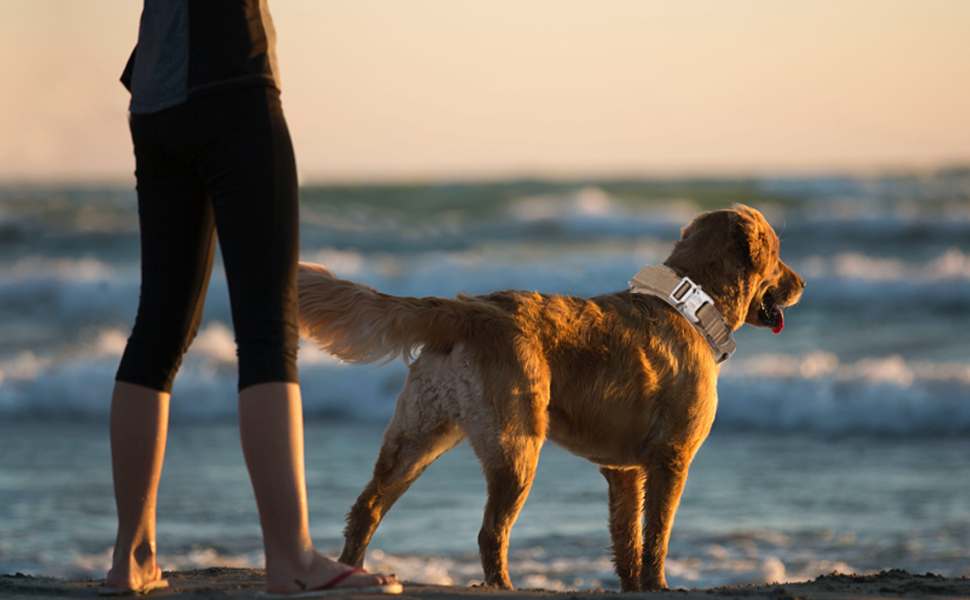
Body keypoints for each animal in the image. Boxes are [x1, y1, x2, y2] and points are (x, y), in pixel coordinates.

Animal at [294, 204, 800, 588]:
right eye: (778, 254)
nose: (802, 284)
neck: (690, 304)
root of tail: (469, 309)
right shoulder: (671, 457)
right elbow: (657, 535)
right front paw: (657, 585)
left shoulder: (624, 470)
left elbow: (627, 538)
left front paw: (633, 585)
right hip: (516, 445)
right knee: (489, 533)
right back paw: (501, 586)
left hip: (418, 435)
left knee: (367, 508)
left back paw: (352, 573)